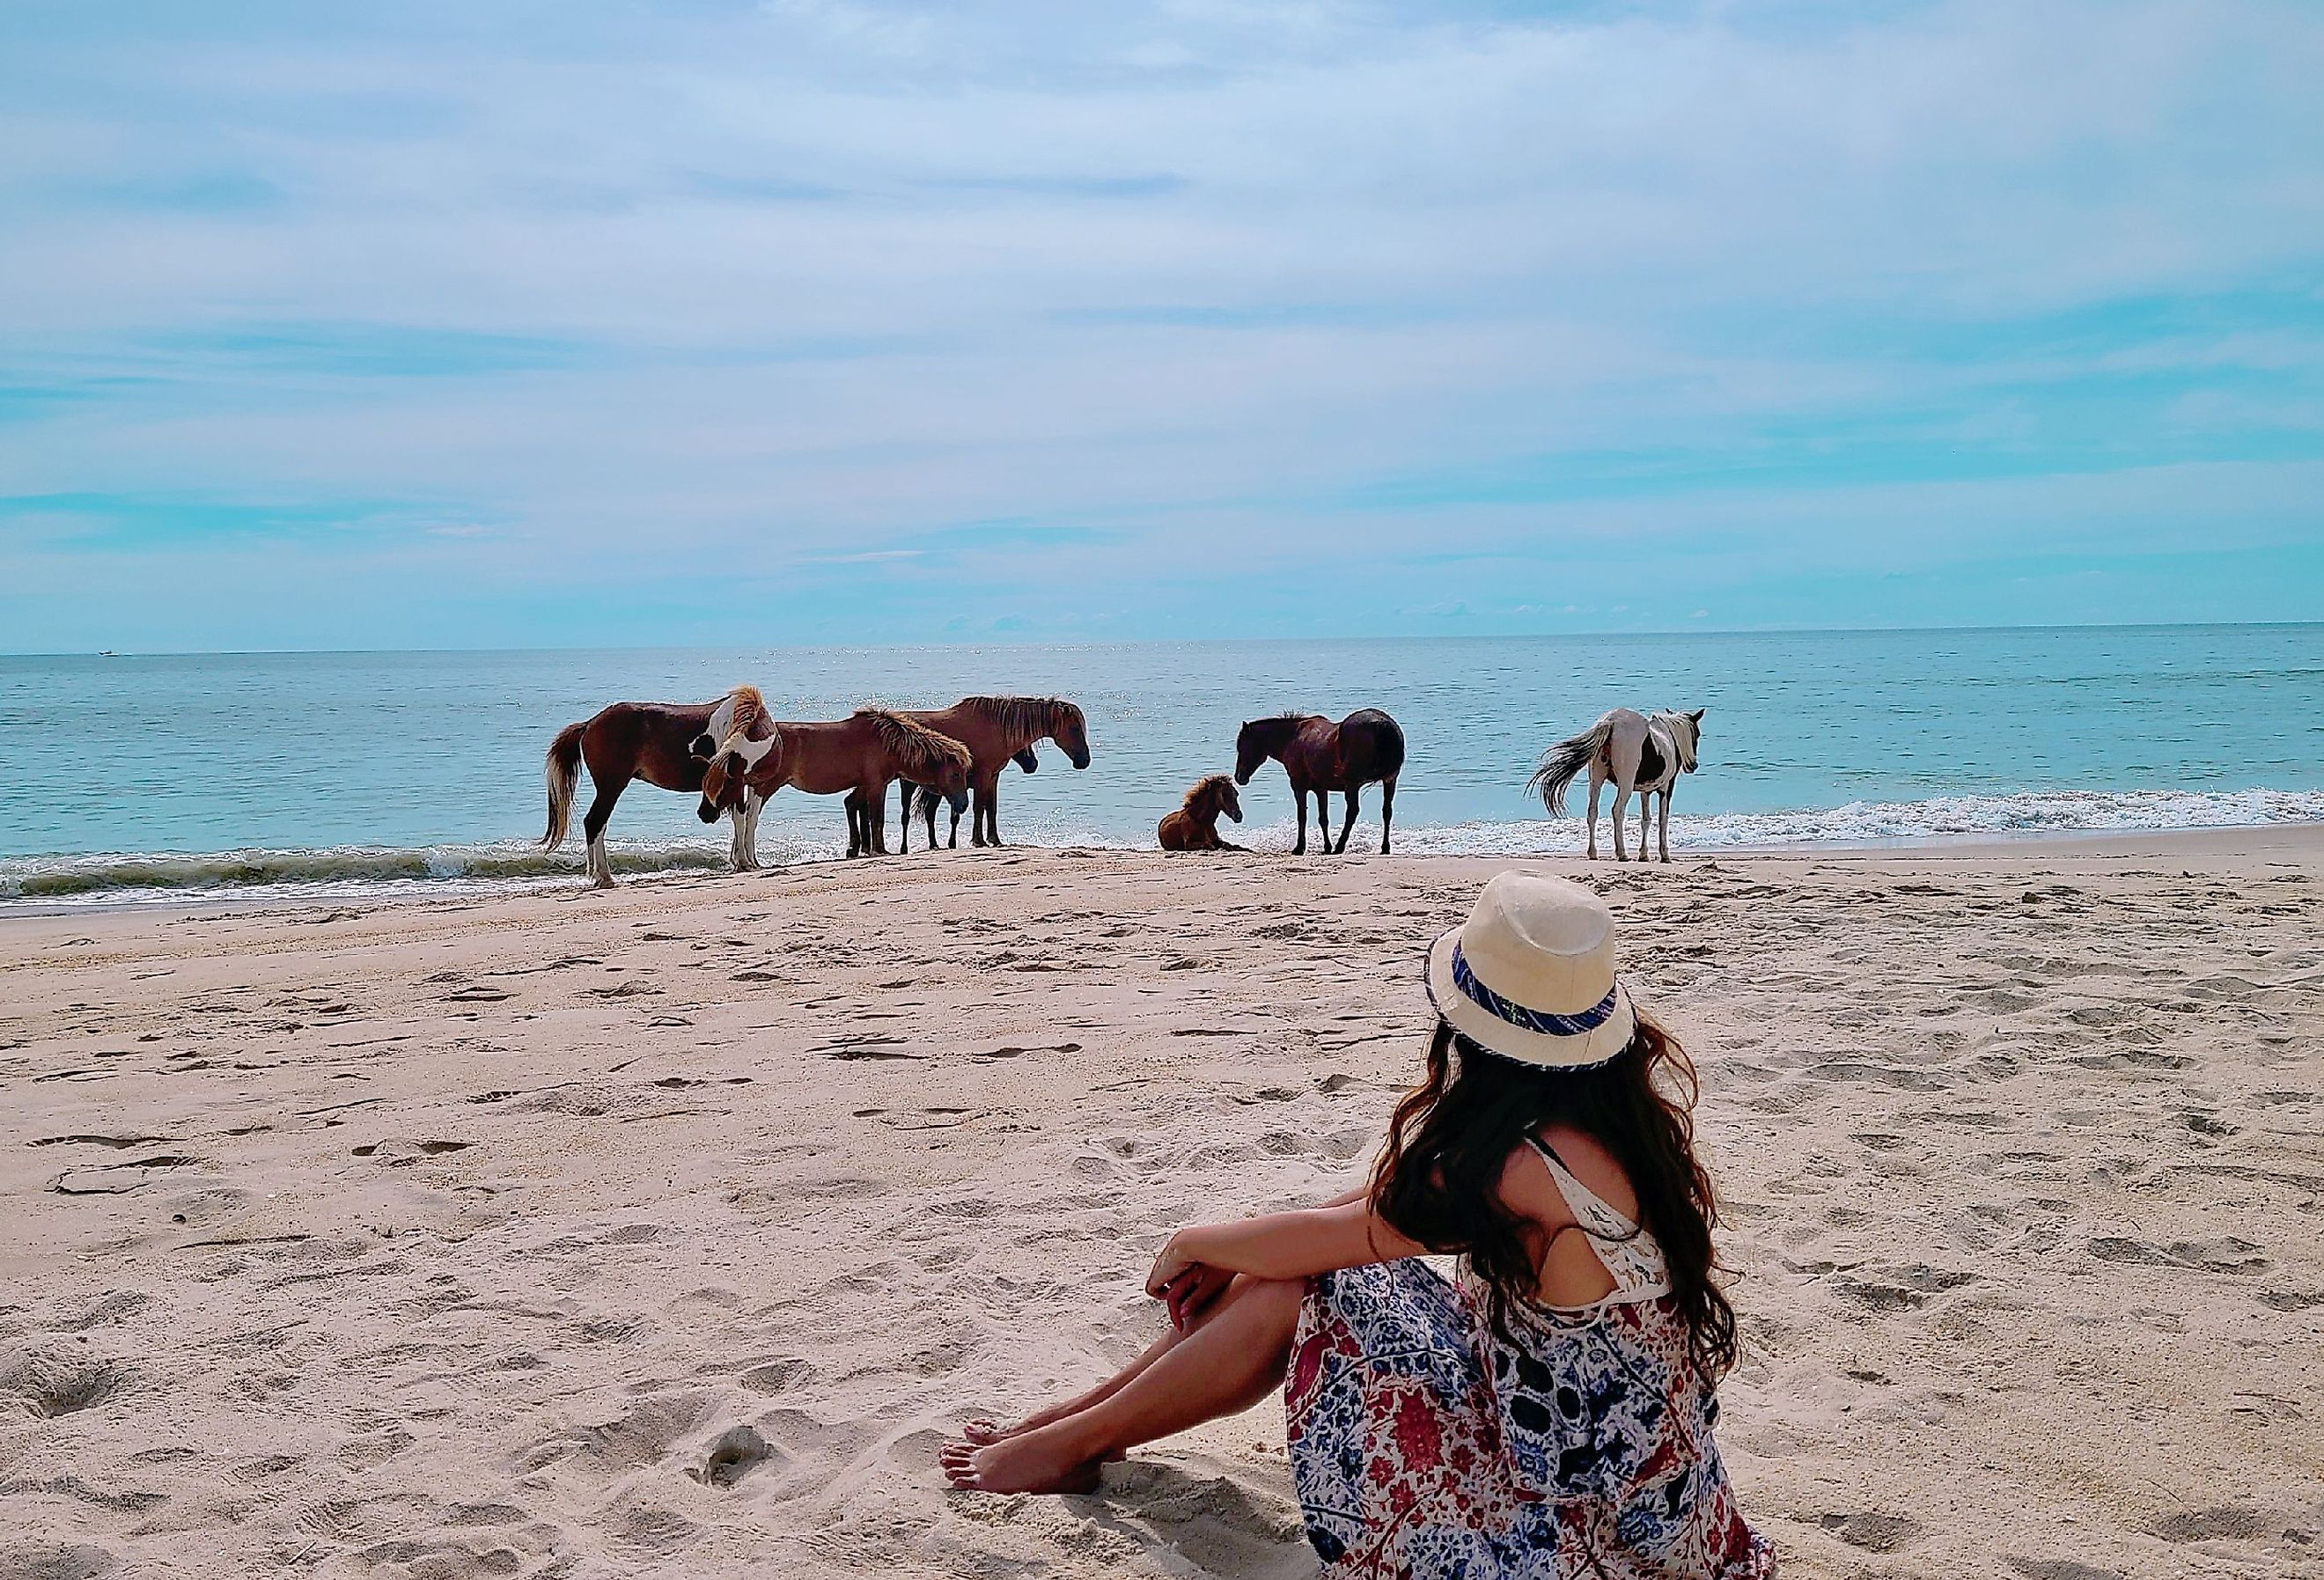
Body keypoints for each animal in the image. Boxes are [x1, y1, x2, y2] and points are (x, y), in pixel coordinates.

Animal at [543, 683, 761, 887]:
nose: (706, 815)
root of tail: (589, 724)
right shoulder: (736, 785)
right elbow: (742, 820)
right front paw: (744, 862)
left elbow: (745, 819)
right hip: (610, 788)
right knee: (595, 823)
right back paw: (604, 876)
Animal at [697, 710, 971, 859]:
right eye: (956, 774)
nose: (963, 804)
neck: (886, 742)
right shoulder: (876, 785)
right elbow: (876, 818)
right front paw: (878, 849)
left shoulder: (863, 785)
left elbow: (852, 806)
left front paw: (855, 848)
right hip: (765, 787)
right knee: (748, 818)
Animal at [897, 692, 1097, 845]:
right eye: (1074, 729)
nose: (1084, 761)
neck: (995, 726)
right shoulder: (982, 776)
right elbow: (978, 808)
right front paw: (978, 841)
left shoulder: (993, 777)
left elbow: (991, 809)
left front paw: (994, 840)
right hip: (909, 784)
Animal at [1226, 706, 1403, 850]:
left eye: (1241, 746)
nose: (1239, 777)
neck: (1294, 737)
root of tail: (1382, 724)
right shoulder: (1321, 789)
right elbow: (1323, 819)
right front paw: (1326, 847)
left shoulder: (1298, 787)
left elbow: (1302, 816)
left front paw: (1300, 847)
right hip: (1390, 781)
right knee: (1387, 811)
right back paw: (1384, 847)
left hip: (1352, 784)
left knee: (1352, 812)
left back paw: (1340, 846)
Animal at [1524, 710, 1710, 863]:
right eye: (1697, 734)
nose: (1693, 765)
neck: (1668, 738)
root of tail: (1611, 722)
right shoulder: (1666, 788)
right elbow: (1662, 820)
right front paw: (1664, 855)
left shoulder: (1645, 791)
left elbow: (1646, 820)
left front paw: (1644, 855)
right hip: (1625, 785)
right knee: (1617, 811)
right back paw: (1622, 853)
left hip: (1596, 781)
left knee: (1592, 812)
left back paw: (1593, 853)